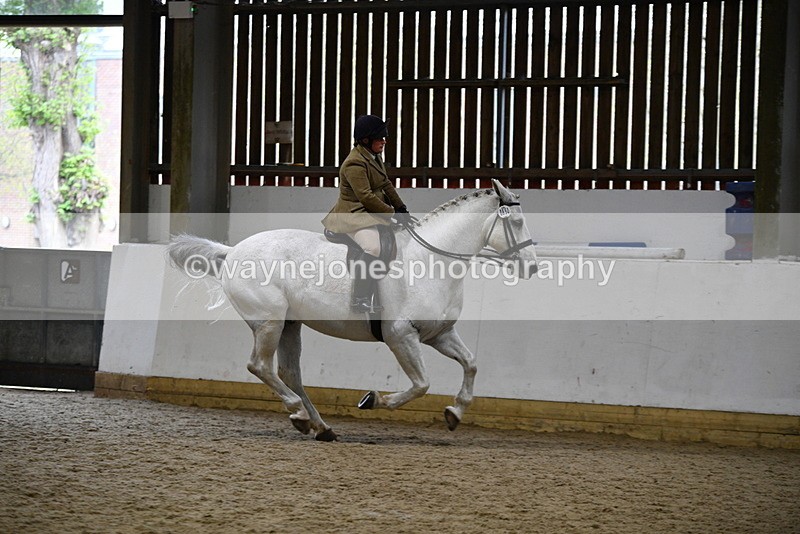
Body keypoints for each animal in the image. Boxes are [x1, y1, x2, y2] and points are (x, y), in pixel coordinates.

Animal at [167, 179, 537, 441]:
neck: (433, 261)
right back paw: (299, 414)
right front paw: (373, 400)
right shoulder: (401, 336)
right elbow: (421, 384)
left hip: (290, 323)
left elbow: (471, 364)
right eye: (517, 223)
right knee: (259, 366)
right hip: (268, 323)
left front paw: (455, 413)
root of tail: (232, 252)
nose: (532, 268)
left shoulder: (439, 334)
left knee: (289, 373)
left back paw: (319, 426)